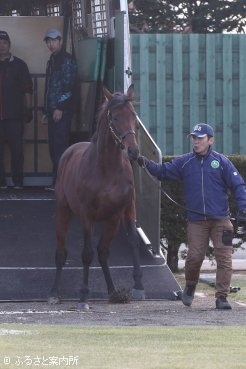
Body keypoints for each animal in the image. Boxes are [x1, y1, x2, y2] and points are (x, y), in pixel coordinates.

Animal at [48, 84, 145, 308]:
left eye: (133, 115)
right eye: (115, 117)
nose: (133, 151)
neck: (108, 169)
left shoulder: (127, 209)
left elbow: (133, 242)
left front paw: (138, 286)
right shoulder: (87, 215)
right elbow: (86, 253)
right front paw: (83, 295)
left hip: (111, 222)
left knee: (103, 252)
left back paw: (113, 291)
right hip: (63, 212)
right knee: (61, 253)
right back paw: (54, 293)